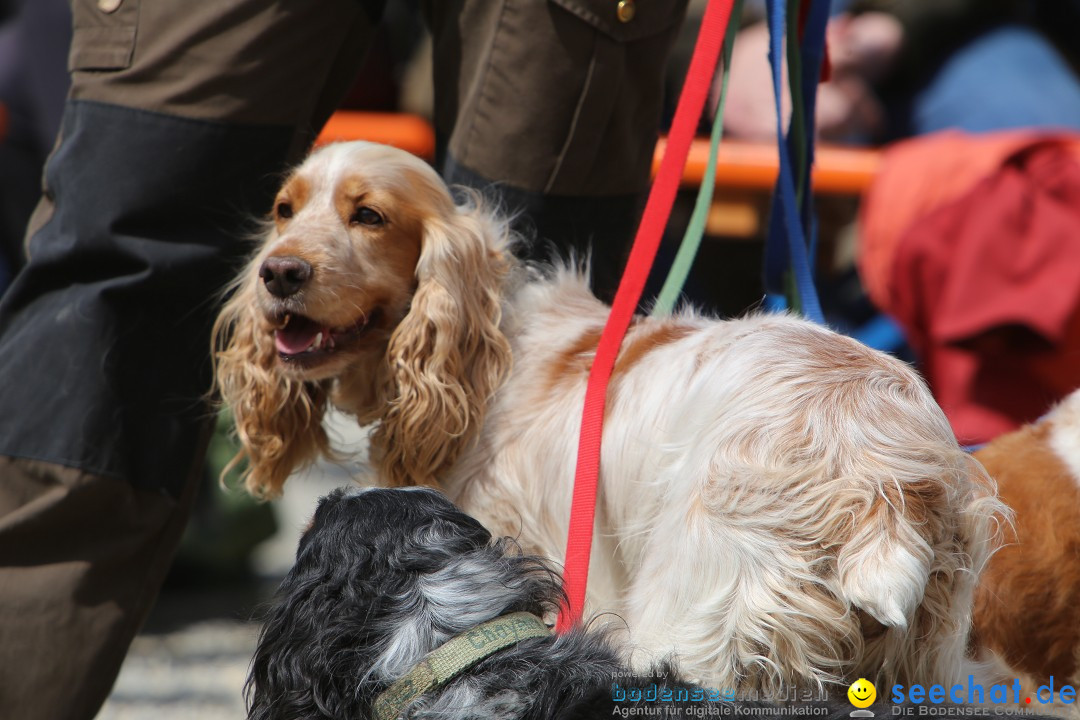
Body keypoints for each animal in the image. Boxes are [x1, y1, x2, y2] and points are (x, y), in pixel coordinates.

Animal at [214, 139, 1006, 690]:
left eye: (369, 216)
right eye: (284, 209)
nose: (278, 273)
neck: (484, 350)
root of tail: (876, 475)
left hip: (698, 627)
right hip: (915, 658)